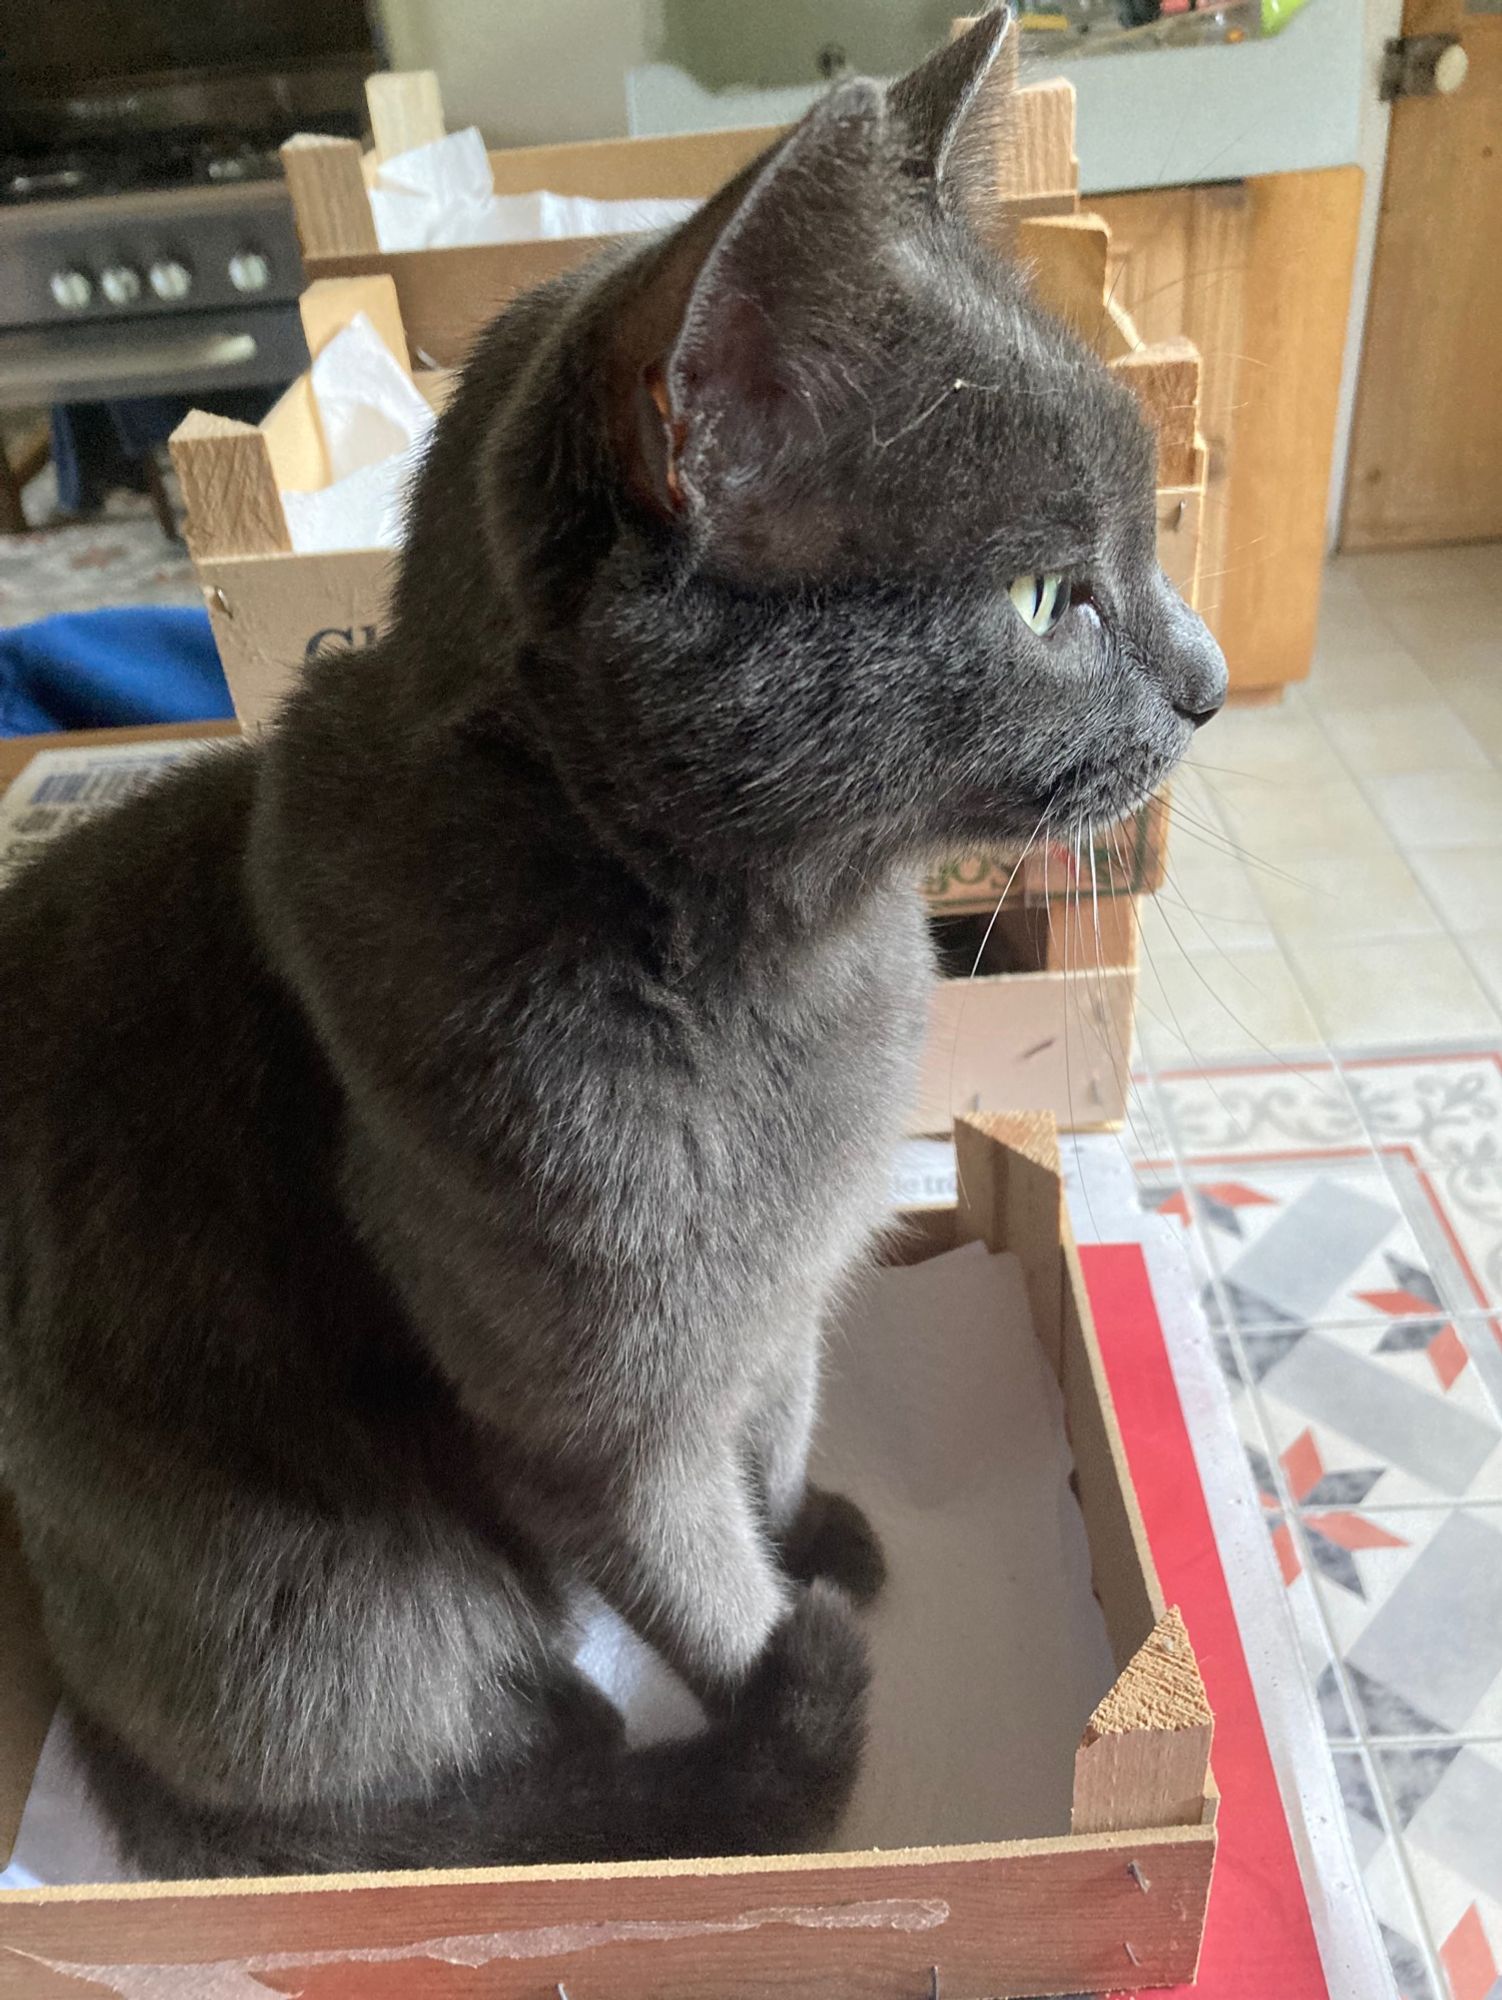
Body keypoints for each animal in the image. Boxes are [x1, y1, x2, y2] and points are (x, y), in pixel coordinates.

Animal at [0, 7, 1224, 1872]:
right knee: (421, 1798)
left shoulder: (787, 1294)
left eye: (1146, 547)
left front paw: (811, 1533)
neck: (784, 967)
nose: (1211, 680)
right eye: (1047, 599)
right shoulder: (591, 1410)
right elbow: (692, 1583)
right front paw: (794, 1676)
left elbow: (768, 1446)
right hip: (325, 1587)